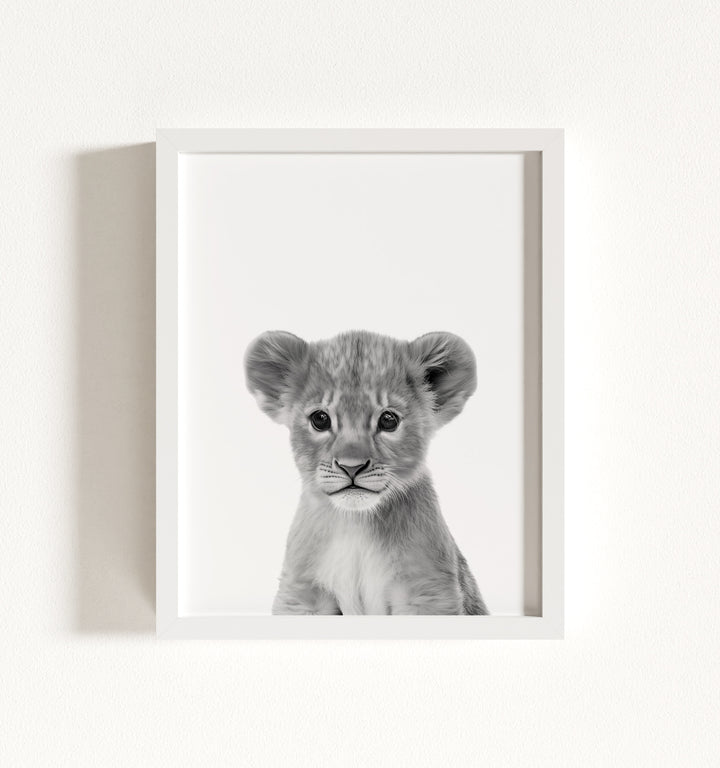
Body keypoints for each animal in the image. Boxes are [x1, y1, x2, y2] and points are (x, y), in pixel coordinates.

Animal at [244, 329, 488, 615]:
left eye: (388, 420)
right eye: (320, 419)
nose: (351, 466)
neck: (356, 524)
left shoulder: (428, 591)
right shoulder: (301, 593)